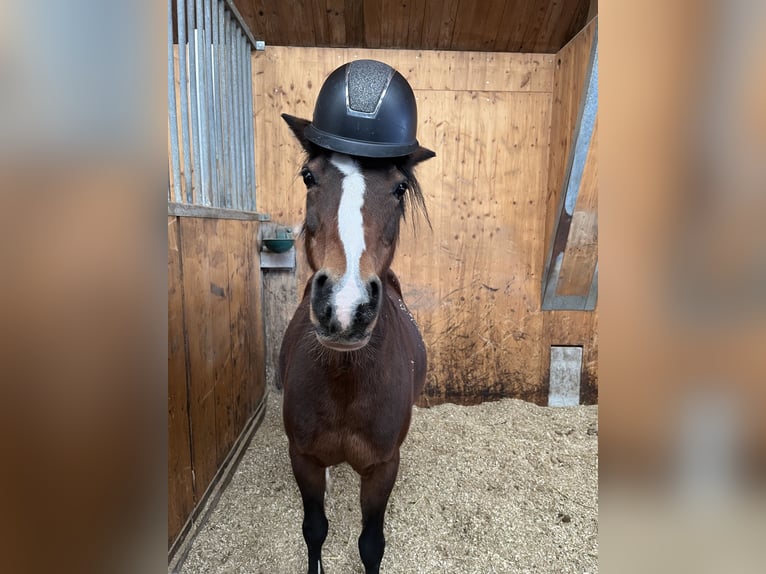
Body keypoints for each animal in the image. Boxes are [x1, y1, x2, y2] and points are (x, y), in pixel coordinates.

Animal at [280, 113, 438, 574]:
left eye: (399, 188)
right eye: (308, 175)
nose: (345, 306)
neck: (346, 381)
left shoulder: (382, 468)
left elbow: (371, 544)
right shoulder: (304, 460)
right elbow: (314, 530)